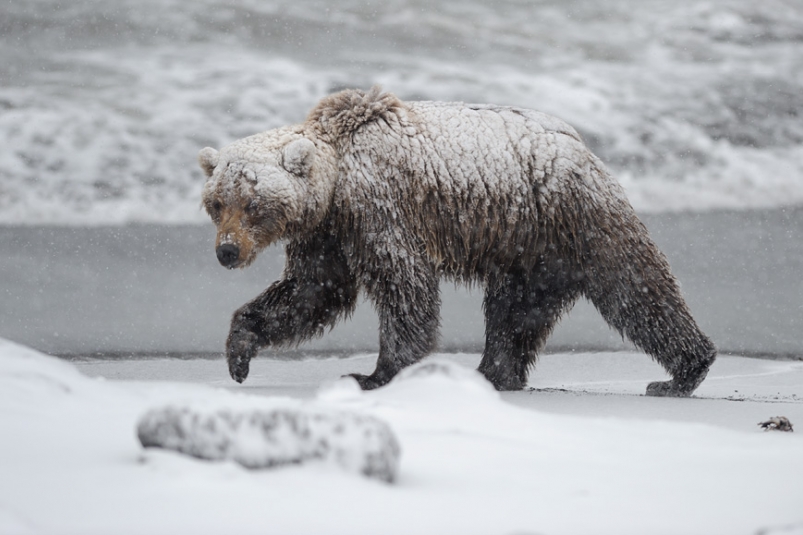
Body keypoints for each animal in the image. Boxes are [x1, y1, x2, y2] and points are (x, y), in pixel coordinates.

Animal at [199, 87, 716, 398]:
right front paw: (239, 352)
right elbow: (311, 291)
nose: (227, 251)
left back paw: (681, 372)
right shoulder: (328, 234)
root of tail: (584, 145)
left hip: (572, 215)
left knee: (635, 289)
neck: (336, 182)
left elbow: (403, 284)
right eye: (217, 202)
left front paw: (374, 374)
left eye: (252, 203)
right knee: (516, 310)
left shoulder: (378, 208)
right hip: (529, 249)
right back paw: (492, 373)